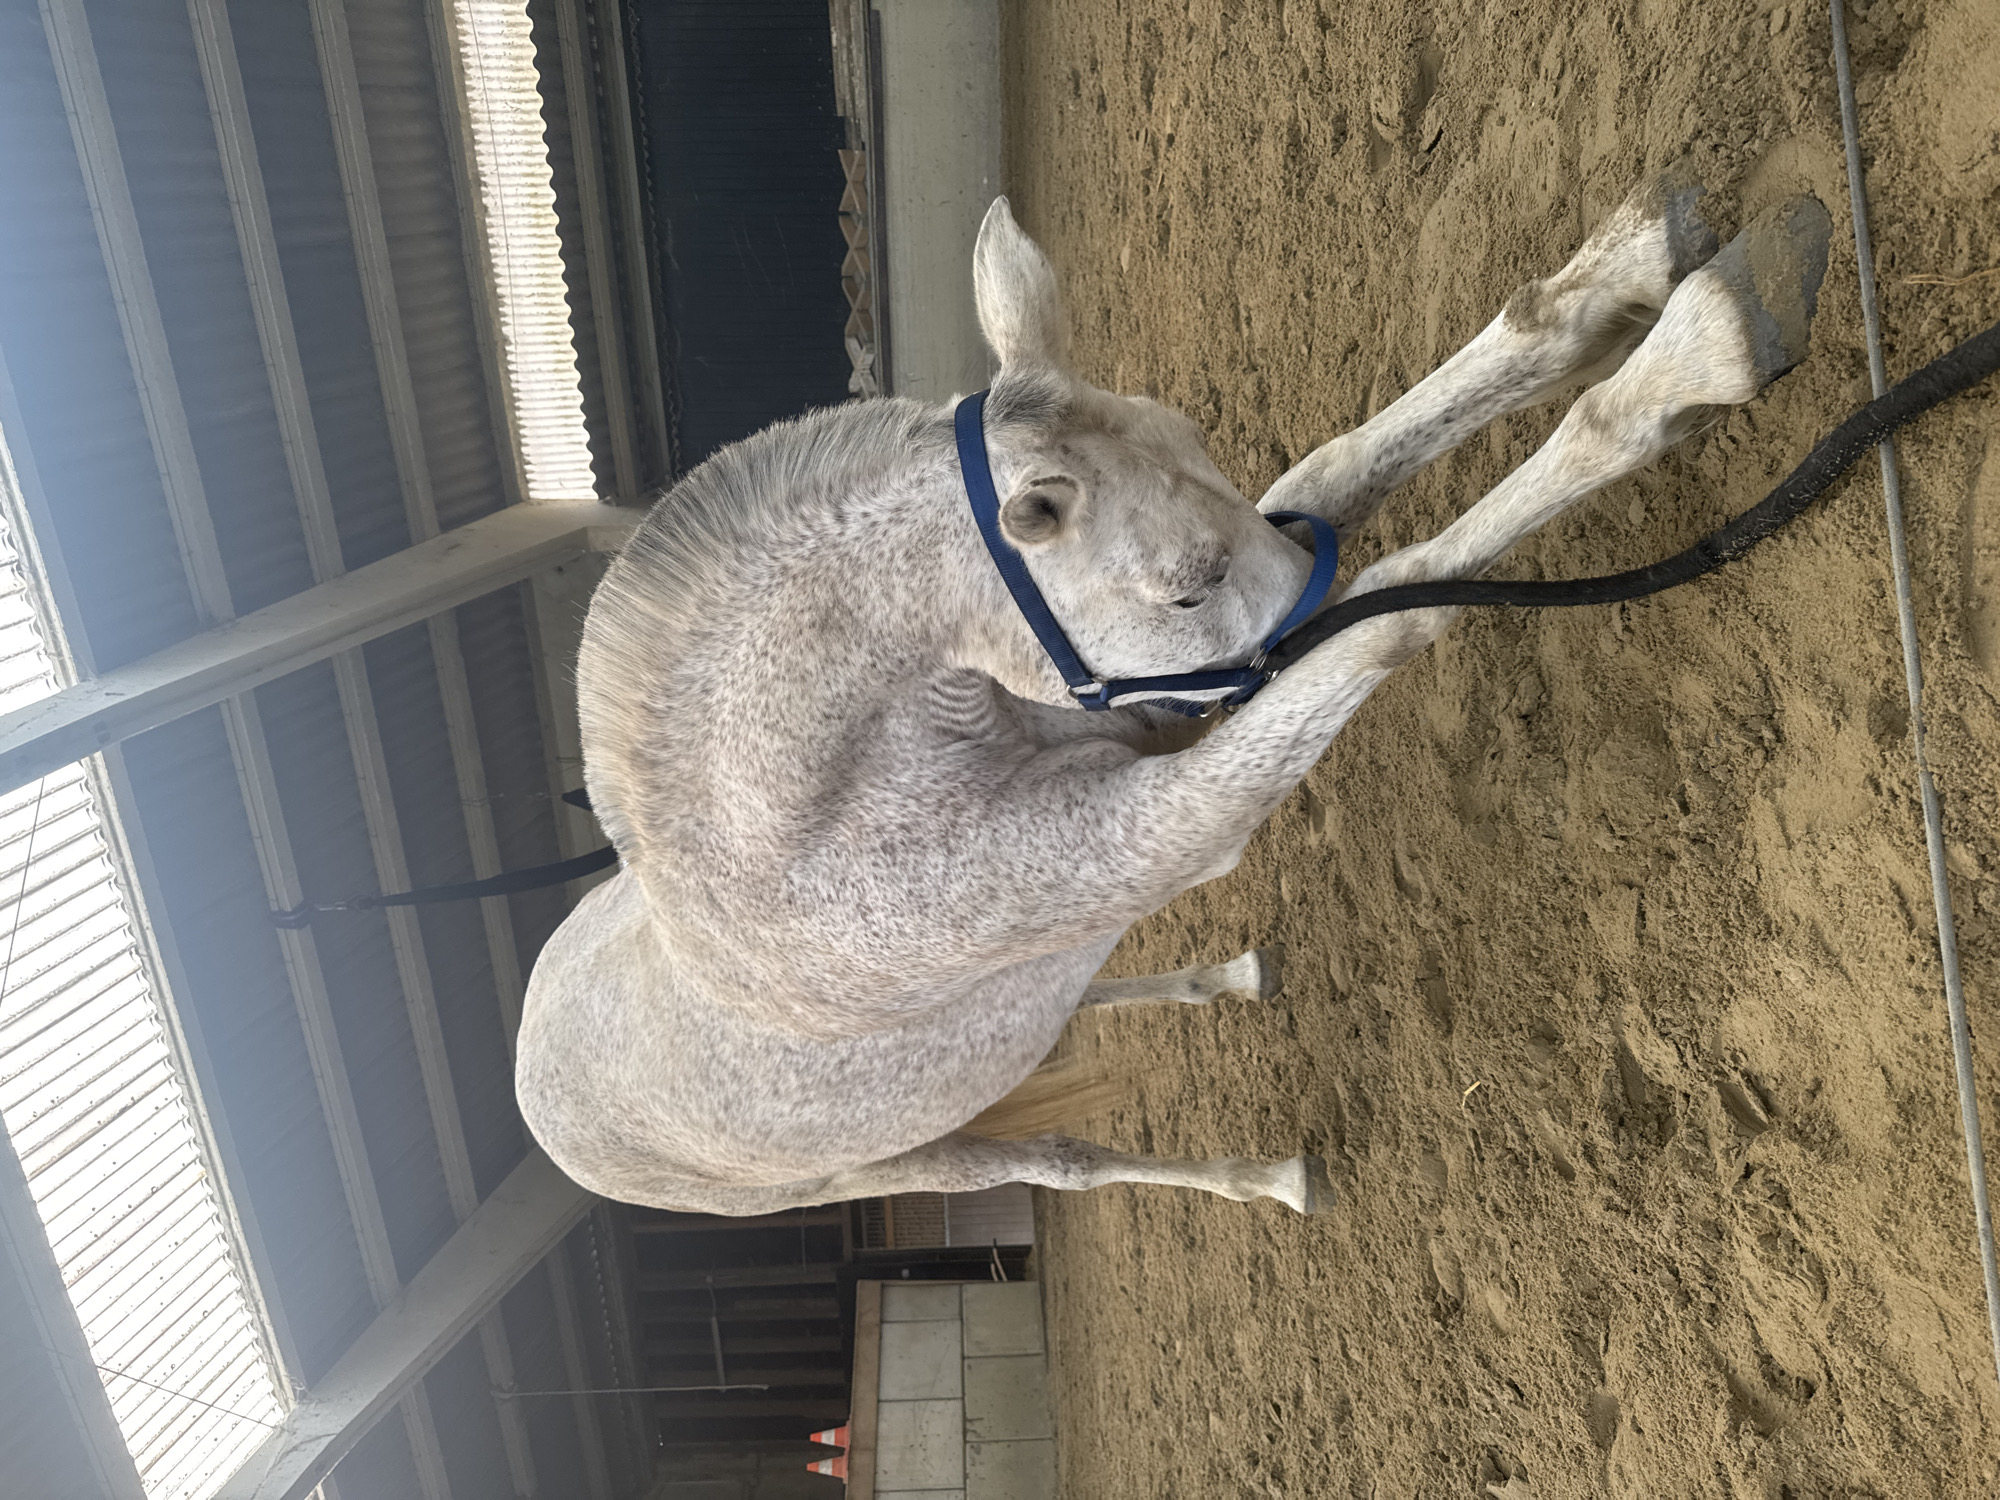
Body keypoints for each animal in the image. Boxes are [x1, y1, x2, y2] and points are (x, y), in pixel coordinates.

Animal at [515, 168, 1828, 1216]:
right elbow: (1395, 603)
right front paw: (1685, 356)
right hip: (910, 1162)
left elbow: (1339, 472)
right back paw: (1269, 1180)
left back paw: (1229, 980)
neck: (827, 816)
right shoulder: (1172, 811)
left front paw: (1621, 281)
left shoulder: (1155, 699)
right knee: (1068, 1161)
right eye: (1183, 590)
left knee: (1092, 1001)